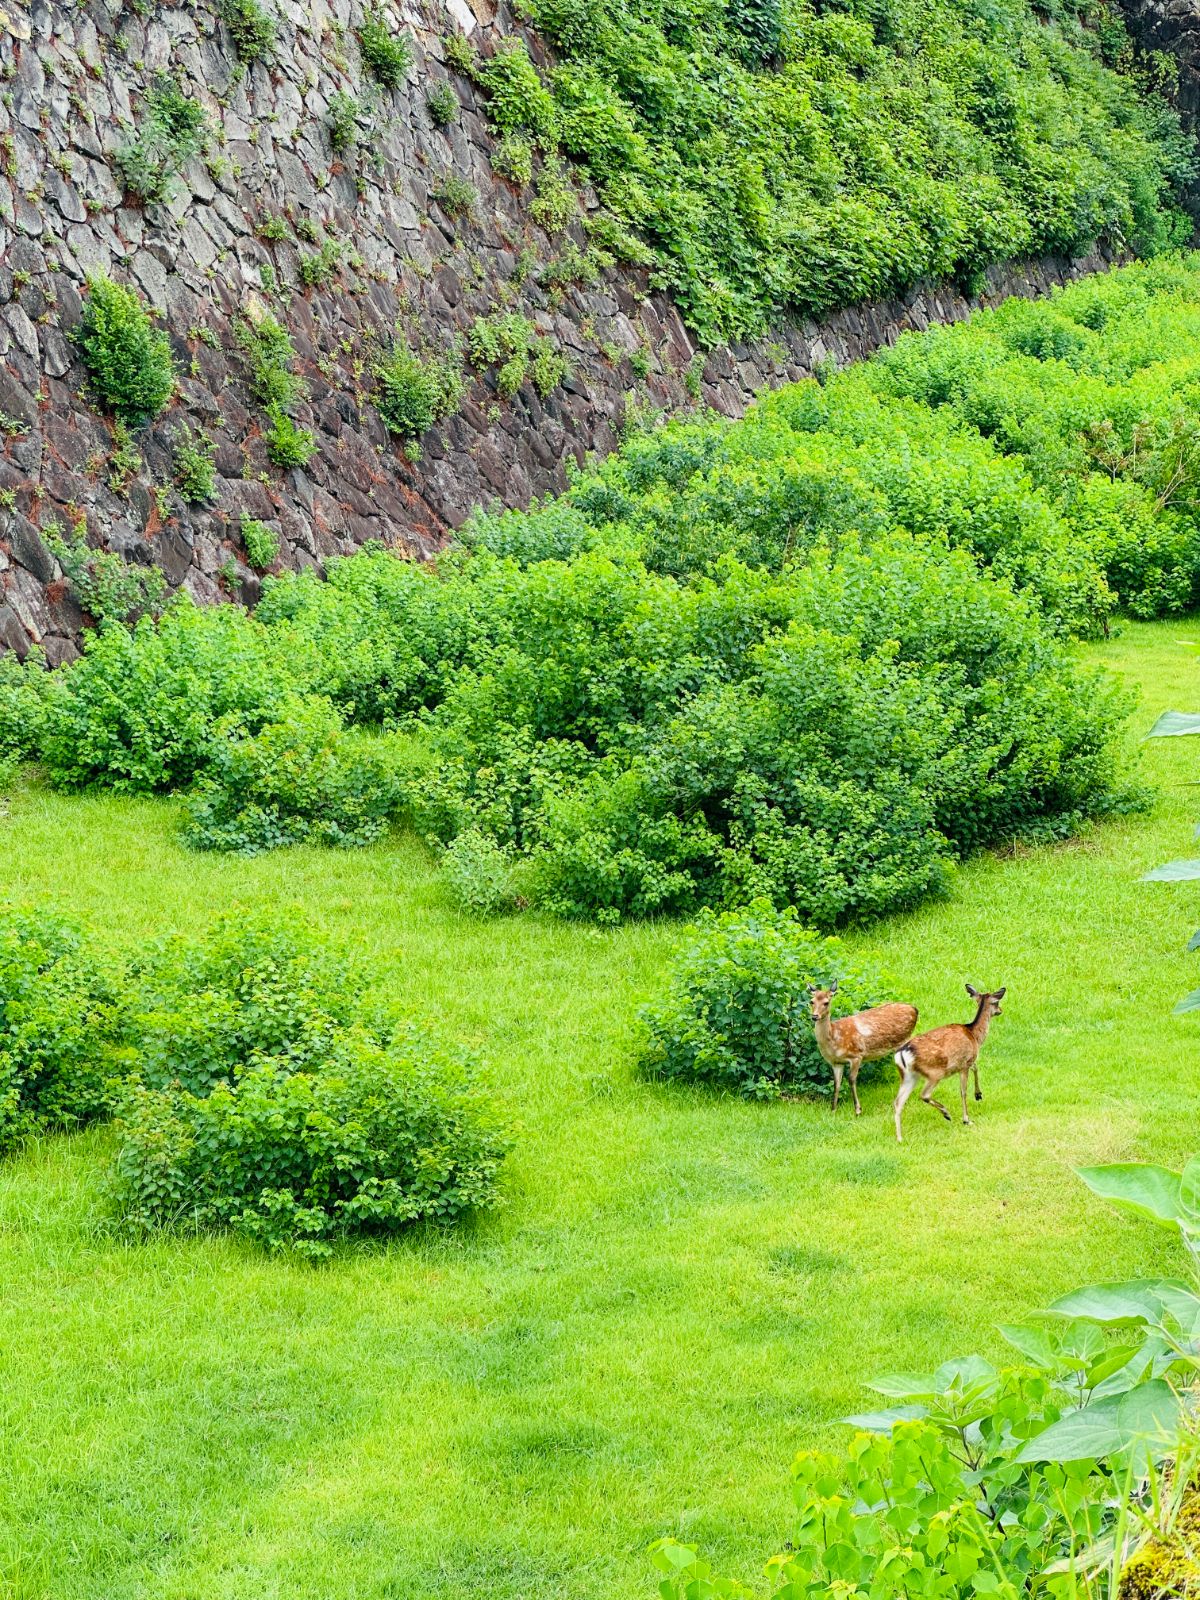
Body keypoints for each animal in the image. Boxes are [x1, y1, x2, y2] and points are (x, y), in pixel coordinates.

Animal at [808, 980, 919, 1117]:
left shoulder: (857, 1055)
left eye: (826, 1002)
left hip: (906, 1039)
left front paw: (858, 1110)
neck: (835, 1038)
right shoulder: (836, 1062)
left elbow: (851, 1080)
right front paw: (833, 1110)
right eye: (811, 1001)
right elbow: (836, 1084)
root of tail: (915, 1009)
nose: (814, 1016)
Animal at [892, 984, 1006, 1142]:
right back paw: (946, 1113)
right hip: (934, 1072)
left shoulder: (966, 1062)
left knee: (898, 1102)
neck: (974, 1036)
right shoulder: (964, 1063)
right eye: (997, 1002)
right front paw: (966, 1119)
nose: (1000, 1010)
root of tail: (902, 1053)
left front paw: (978, 1094)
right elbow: (963, 1091)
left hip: (909, 1076)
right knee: (924, 1095)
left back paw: (900, 1138)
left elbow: (976, 1067)